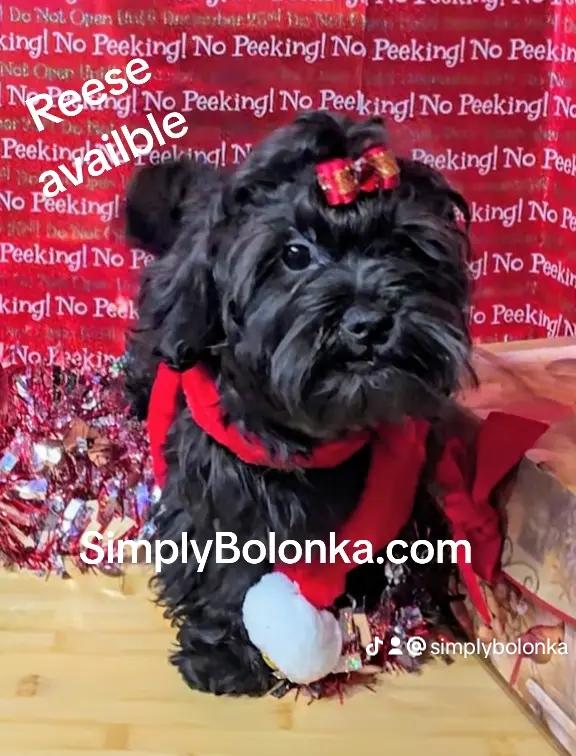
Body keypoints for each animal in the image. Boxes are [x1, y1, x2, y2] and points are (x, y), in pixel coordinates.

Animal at [125, 112, 472, 695]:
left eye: (402, 247)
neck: (311, 437)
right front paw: (223, 655)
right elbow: (220, 564)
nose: (367, 323)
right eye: (294, 254)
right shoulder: (217, 489)